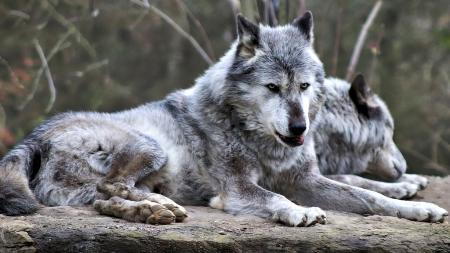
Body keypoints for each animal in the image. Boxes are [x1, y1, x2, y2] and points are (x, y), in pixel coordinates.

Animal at [0, 12, 446, 225]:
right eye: (272, 88)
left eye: (303, 86)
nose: (299, 128)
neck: (260, 140)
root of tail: (33, 138)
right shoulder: (240, 187)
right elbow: (275, 198)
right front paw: (298, 213)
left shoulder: (306, 179)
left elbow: (369, 196)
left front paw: (416, 206)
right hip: (152, 147)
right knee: (112, 189)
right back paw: (159, 206)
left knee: (105, 199)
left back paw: (154, 210)